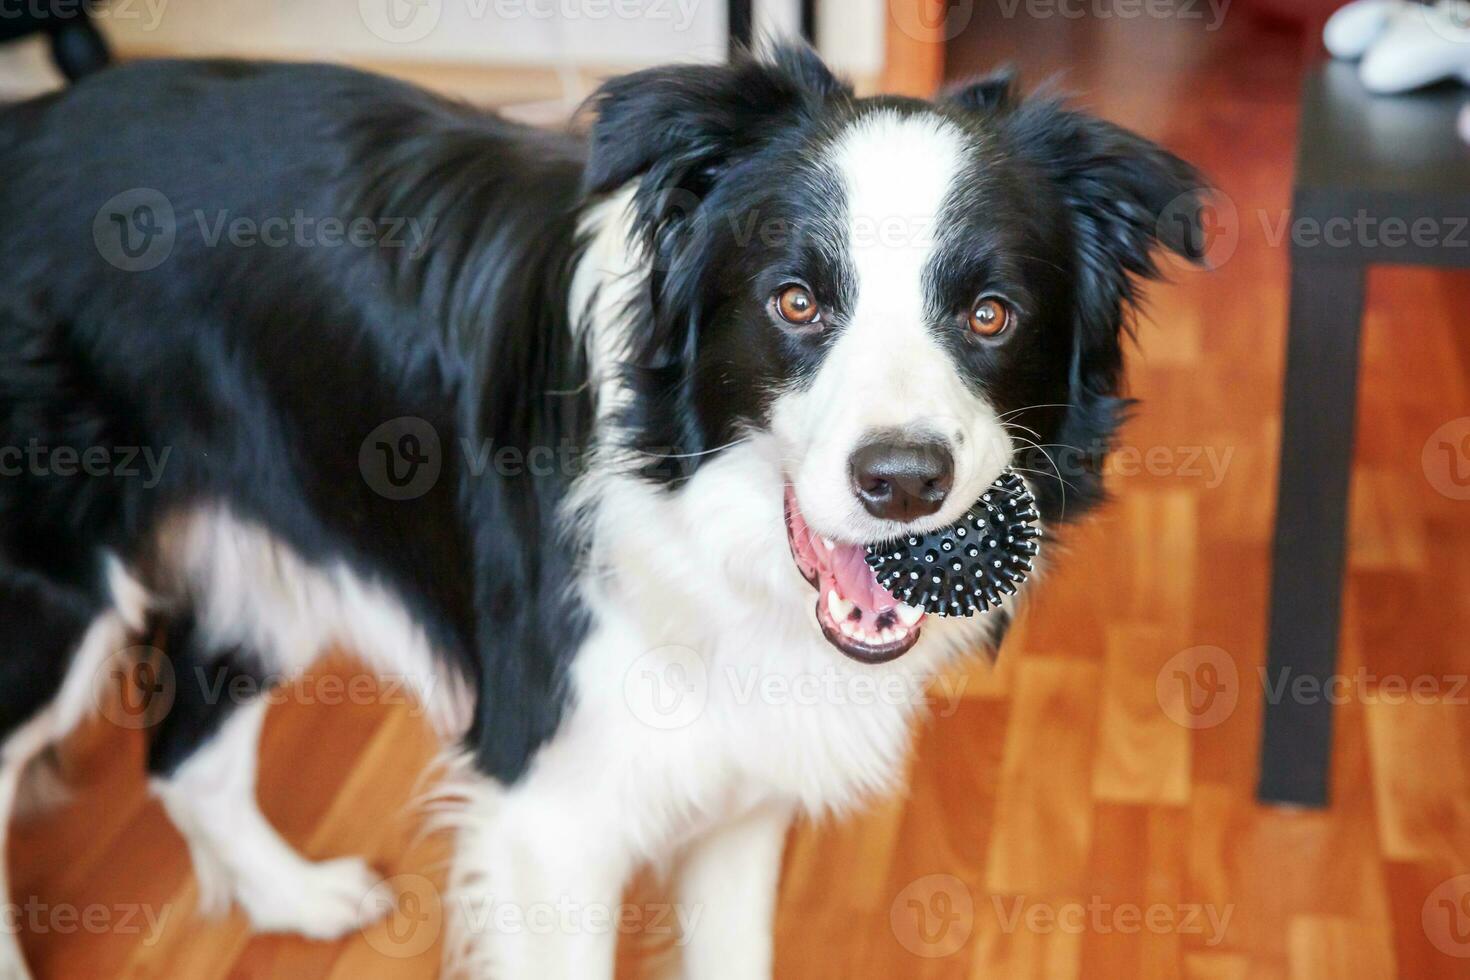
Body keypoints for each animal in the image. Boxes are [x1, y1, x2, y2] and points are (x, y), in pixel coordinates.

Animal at [0, 44, 1199, 975]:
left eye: (992, 314)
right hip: (49, 599)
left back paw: (295, 895)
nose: (903, 481)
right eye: (795, 301)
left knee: (183, 756)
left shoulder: (744, 785)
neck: (688, 509)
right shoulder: (549, 816)